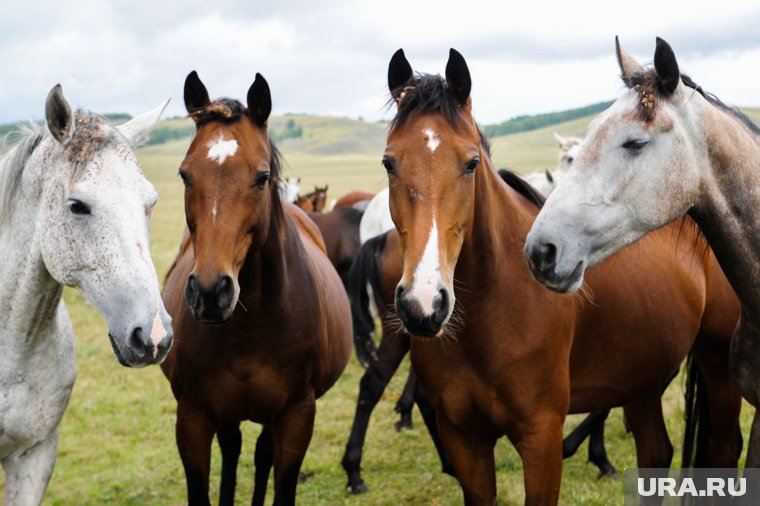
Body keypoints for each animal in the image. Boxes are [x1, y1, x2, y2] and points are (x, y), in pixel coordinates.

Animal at [162, 71, 352, 506]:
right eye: (184, 174)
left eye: (262, 177)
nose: (210, 293)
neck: (253, 327)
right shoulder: (192, 418)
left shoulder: (297, 416)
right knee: (233, 449)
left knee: (260, 451)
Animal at [382, 48, 740, 506]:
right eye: (389, 162)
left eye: (471, 163)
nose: (424, 304)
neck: (491, 308)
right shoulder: (463, 439)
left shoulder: (542, 438)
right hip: (642, 382)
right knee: (656, 453)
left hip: (717, 367)